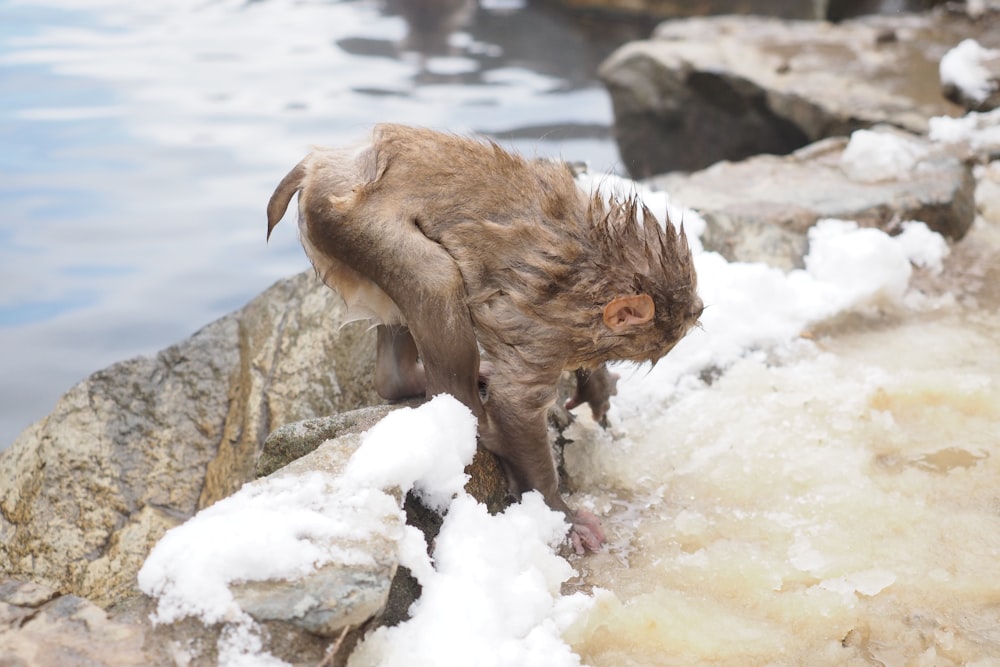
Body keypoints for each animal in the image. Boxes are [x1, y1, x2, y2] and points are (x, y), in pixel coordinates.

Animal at [268, 125, 704, 552]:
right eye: (662, 341)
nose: (699, 309)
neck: (594, 267)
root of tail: (319, 165)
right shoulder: (543, 331)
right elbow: (516, 405)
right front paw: (560, 513)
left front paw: (595, 388)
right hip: (353, 218)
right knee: (436, 277)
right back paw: (473, 416)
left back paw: (405, 380)